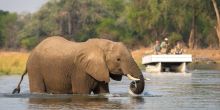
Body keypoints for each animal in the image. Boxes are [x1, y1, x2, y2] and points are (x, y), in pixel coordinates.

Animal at [12, 36, 145, 94]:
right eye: (118, 59)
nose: (133, 84)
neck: (103, 45)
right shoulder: (80, 70)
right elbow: (81, 92)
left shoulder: (101, 69)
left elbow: (103, 92)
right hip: (35, 68)